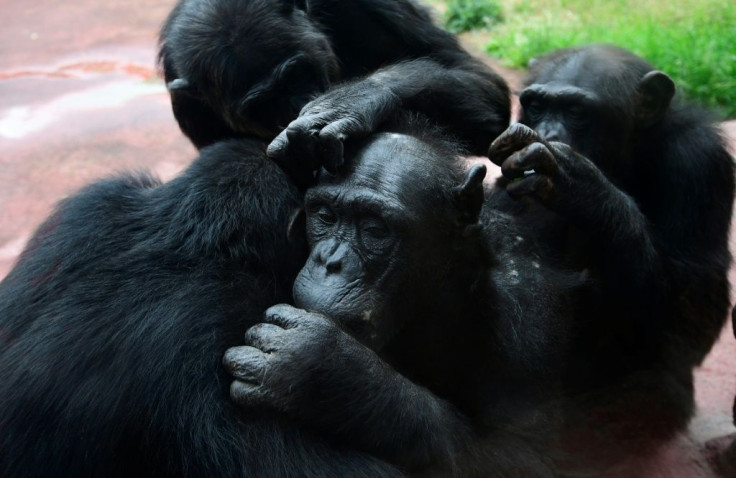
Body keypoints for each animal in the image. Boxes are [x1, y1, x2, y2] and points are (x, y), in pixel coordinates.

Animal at [157, 0, 508, 161]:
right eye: (261, 105)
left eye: (296, 74)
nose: (298, 105)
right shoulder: (187, 104)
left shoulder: (373, 7)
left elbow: (476, 76)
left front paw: (353, 100)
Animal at [220, 119, 588, 474]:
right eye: (325, 215)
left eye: (375, 230)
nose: (330, 262)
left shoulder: (530, 311)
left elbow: (525, 452)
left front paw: (326, 370)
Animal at [486, 46, 732, 438]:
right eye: (536, 105)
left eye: (576, 112)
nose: (546, 131)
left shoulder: (701, 162)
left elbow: (692, 321)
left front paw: (579, 183)